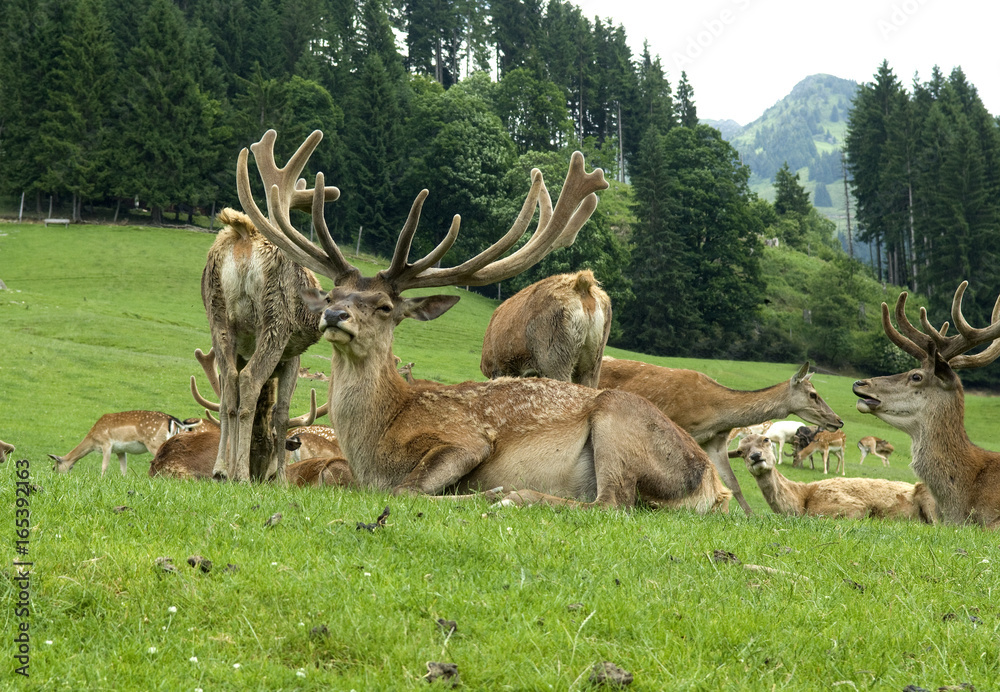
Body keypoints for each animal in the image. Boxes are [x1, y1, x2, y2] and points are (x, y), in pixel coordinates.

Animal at [49, 411, 198, 476]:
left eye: (54, 467)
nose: (58, 477)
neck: (93, 439)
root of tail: (174, 421)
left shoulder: (106, 444)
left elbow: (104, 465)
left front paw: (101, 479)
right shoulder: (120, 450)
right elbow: (123, 468)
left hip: (155, 442)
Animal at [597, 358, 844, 516]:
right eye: (813, 394)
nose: (838, 420)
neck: (714, 414)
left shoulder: (715, 441)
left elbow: (734, 483)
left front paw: (750, 515)